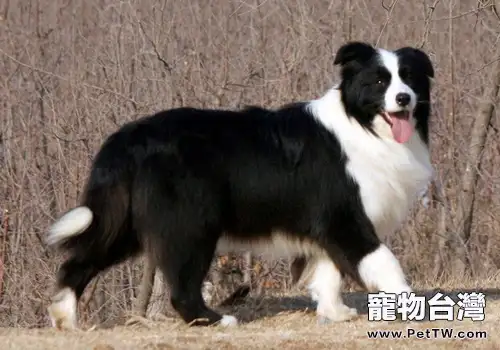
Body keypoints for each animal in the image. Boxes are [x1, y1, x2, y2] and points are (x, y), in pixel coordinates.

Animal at [45, 41, 434, 330]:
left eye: (409, 78)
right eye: (380, 81)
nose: (404, 99)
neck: (363, 125)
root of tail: (129, 136)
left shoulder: (326, 223)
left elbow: (328, 271)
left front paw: (334, 312)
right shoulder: (345, 217)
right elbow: (383, 260)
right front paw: (411, 305)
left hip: (125, 220)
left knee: (78, 262)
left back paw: (65, 318)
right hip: (190, 223)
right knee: (182, 285)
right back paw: (215, 320)